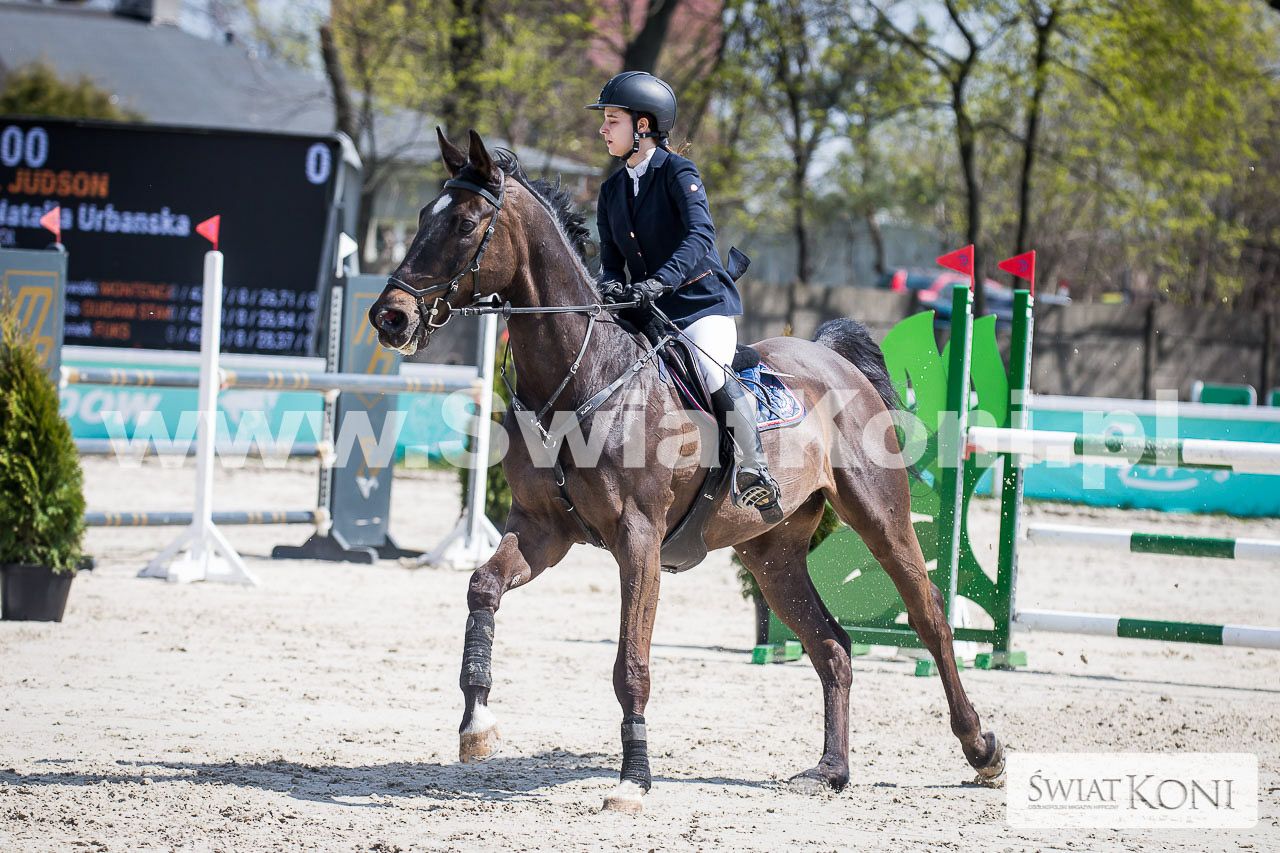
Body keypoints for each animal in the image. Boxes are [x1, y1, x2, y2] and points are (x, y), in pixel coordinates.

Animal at [368, 129, 1005, 813]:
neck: (582, 375)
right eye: (421, 218)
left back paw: (982, 750)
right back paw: (830, 770)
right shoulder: (542, 531)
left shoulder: (638, 539)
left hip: (878, 517)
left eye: (463, 225)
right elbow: (482, 588)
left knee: (929, 615)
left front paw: (633, 780)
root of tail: (832, 358)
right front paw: (477, 726)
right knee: (832, 644)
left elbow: (631, 665)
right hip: (770, 554)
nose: (390, 317)